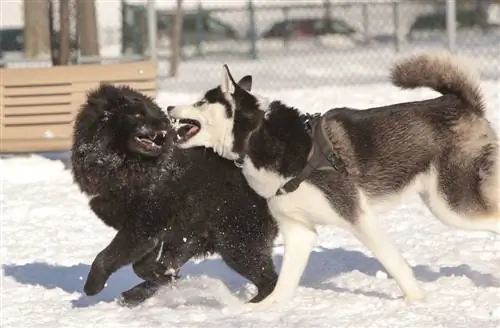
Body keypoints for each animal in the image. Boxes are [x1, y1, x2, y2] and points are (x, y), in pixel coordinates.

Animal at [71, 84, 278, 304]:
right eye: (137, 114)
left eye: (153, 112)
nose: (166, 121)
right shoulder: (173, 233)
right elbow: (147, 266)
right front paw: (162, 279)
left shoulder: (143, 228)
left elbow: (107, 257)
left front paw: (93, 286)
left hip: (238, 243)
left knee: (269, 280)